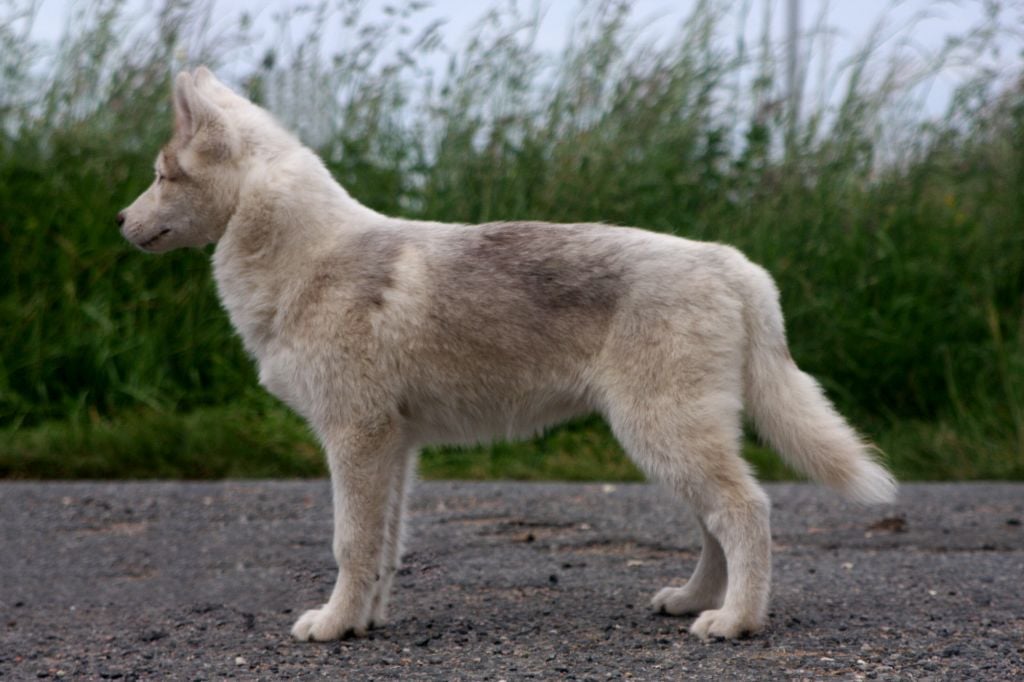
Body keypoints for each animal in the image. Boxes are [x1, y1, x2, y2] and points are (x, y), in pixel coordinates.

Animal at [118, 67, 896, 642]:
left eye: (159, 175)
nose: (120, 220)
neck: (307, 258)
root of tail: (734, 263)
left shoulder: (355, 439)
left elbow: (350, 544)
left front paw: (332, 626)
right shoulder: (393, 449)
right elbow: (385, 549)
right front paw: (365, 622)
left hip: (664, 436)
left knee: (746, 512)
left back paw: (735, 622)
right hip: (672, 443)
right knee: (718, 523)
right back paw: (691, 600)